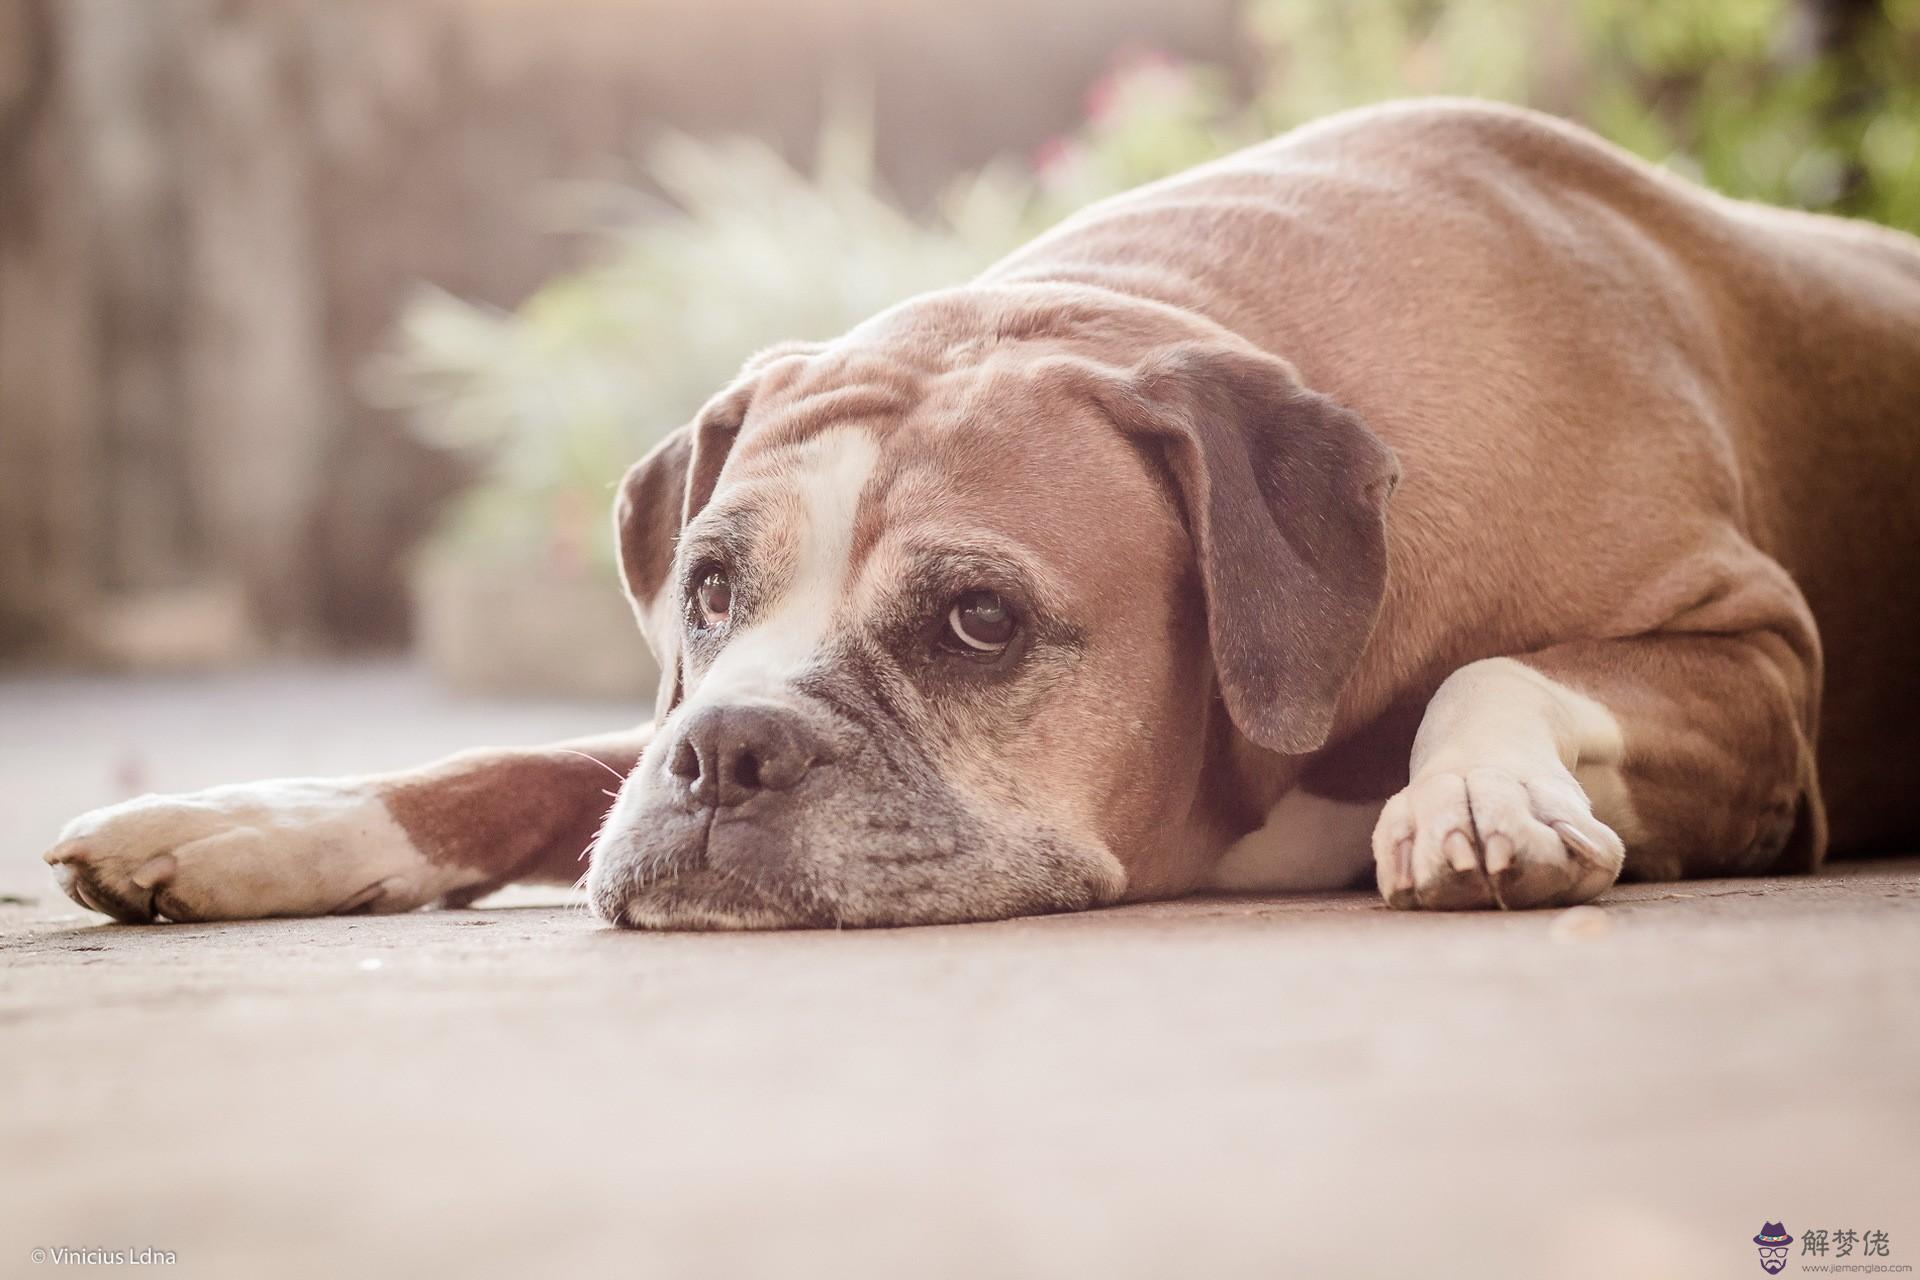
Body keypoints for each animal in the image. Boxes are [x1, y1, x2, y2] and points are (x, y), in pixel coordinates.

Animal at [45, 97, 1920, 921]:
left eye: (979, 622)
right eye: (706, 591)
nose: (726, 755)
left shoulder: (1756, 677)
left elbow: (1500, 669)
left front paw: (1478, 801)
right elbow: (532, 766)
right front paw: (266, 821)